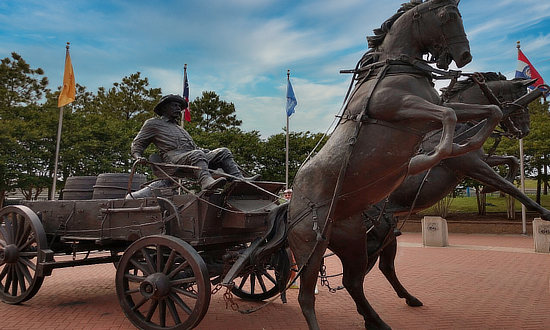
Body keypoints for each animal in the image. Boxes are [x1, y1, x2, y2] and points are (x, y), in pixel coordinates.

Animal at [292, 1, 506, 328]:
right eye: (447, 16)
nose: (465, 56)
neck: (394, 69)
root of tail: (288, 201)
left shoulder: (438, 105)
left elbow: (490, 110)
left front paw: (470, 143)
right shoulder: (401, 107)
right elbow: (449, 118)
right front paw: (436, 154)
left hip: (352, 242)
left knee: (353, 282)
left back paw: (378, 320)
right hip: (311, 245)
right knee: (306, 295)